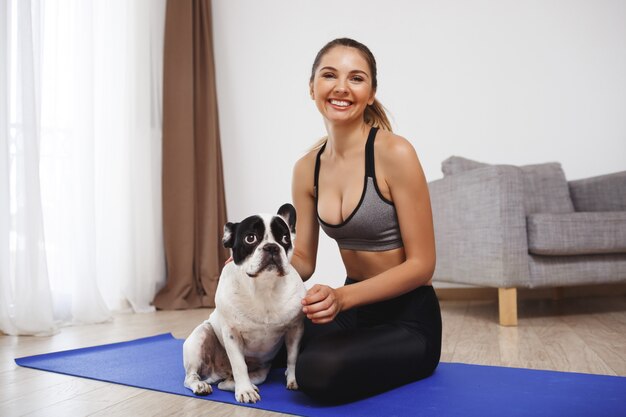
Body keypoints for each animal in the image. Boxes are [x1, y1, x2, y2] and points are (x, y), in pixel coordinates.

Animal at [182, 203, 306, 402]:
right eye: (250, 238)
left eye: (285, 238)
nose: (272, 247)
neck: (264, 287)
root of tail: (219, 373)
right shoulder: (231, 334)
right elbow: (239, 365)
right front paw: (245, 391)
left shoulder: (295, 329)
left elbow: (292, 357)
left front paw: (293, 379)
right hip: (200, 337)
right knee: (191, 376)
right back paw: (202, 385)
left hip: (262, 370)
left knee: (234, 380)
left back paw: (236, 383)